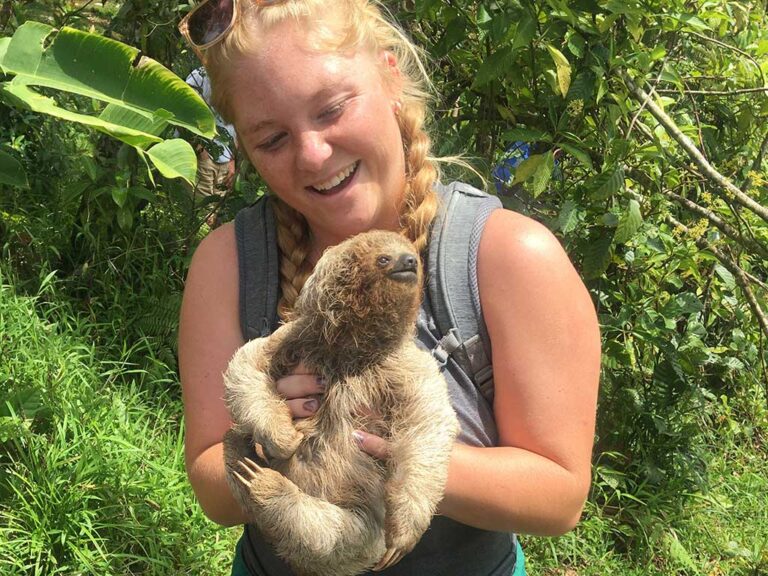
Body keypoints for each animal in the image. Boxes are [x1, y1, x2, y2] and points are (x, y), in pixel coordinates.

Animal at [222, 230, 460, 576]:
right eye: (384, 258)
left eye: (414, 257)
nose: (409, 262)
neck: (352, 347)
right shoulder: (295, 336)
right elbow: (248, 363)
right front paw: (284, 438)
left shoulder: (408, 365)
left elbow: (427, 425)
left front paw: (405, 532)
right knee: (232, 439)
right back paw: (245, 461)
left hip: (363, 534)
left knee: (333, 536)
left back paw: (266, 485)